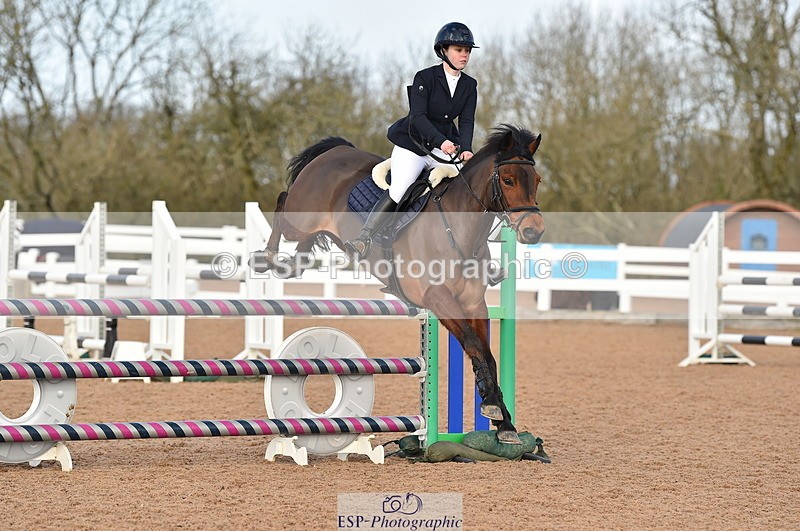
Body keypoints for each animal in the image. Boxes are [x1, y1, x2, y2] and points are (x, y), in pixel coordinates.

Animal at [258, 124, 544, 444]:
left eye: (536, 180)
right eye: (507, 180)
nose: (533, 231)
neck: (459, 232)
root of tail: (336, 150)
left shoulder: (473, 303)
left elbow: (486, 354)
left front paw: (502, 420)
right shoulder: (438, 299)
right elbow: (472, 344)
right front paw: (494, 408)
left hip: (312, 233)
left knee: (301, 249)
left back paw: (288, 263)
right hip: (300, 218)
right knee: (282, 202)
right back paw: (267, 256)